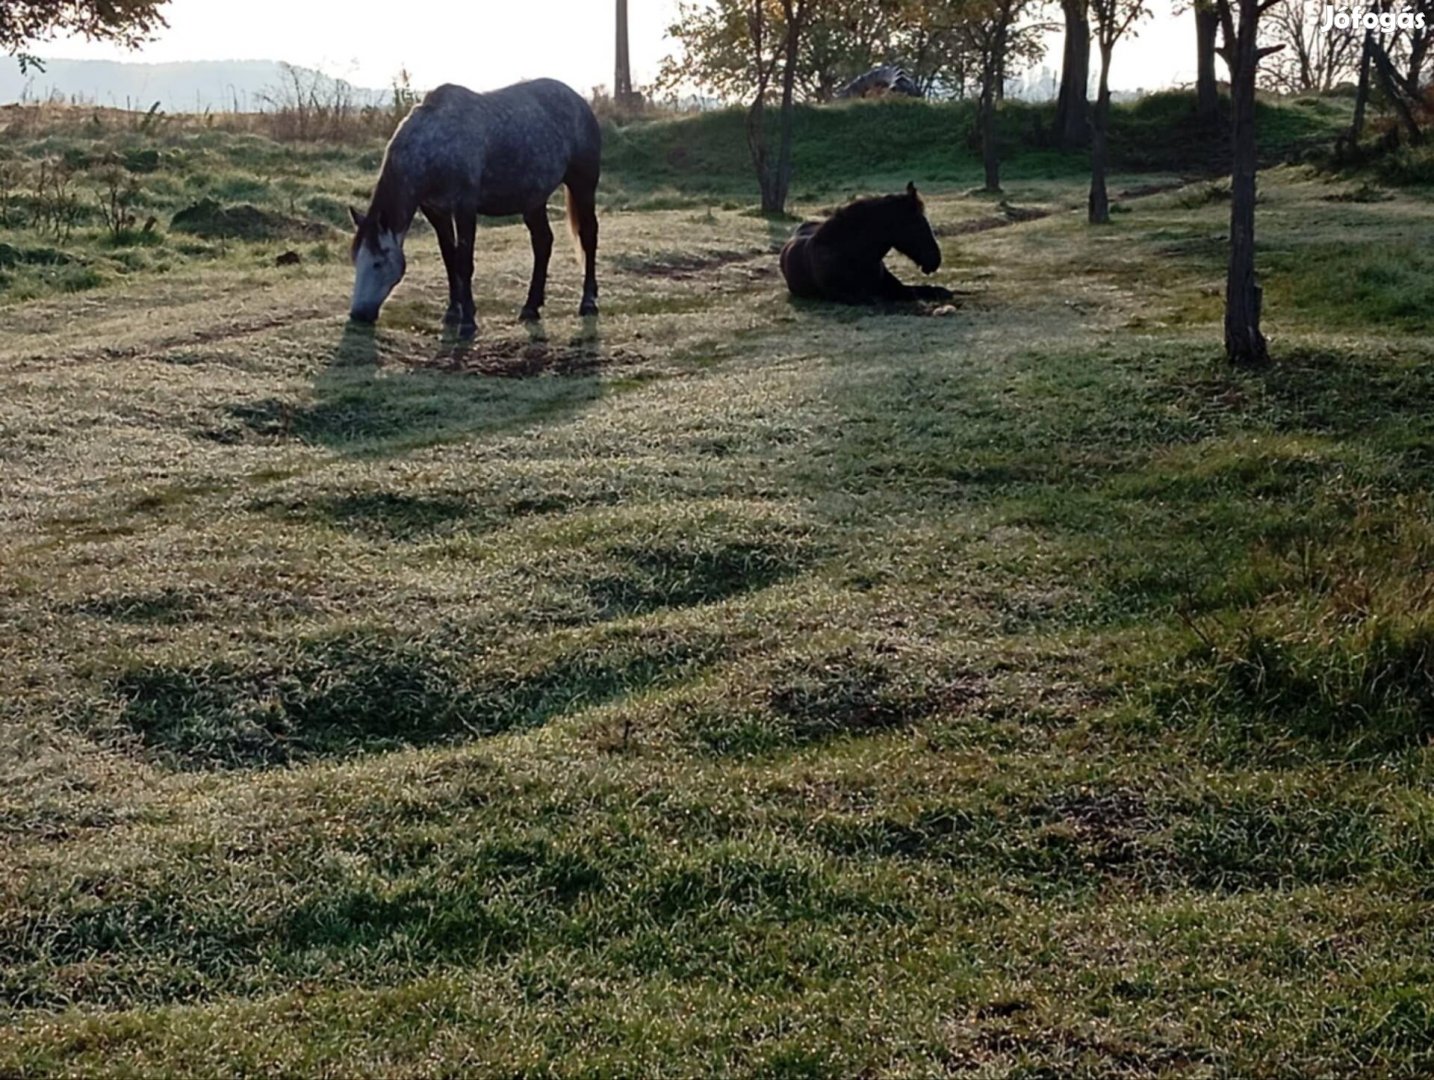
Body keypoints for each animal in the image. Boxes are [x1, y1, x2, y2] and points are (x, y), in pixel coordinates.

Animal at [349, 78, 602, 332]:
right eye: (356, 260)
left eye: (378, 263)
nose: (357, 314)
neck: (434, 143)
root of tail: (579, 101)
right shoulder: (436, 211)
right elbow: (449, 258)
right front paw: (453, 312)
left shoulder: (465, 208)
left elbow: (464, 262)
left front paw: (468, 322)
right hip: (534, 200)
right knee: (543, 242)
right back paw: (531, 307)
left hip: (582, 185)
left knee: (588, 235)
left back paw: (588, 302)